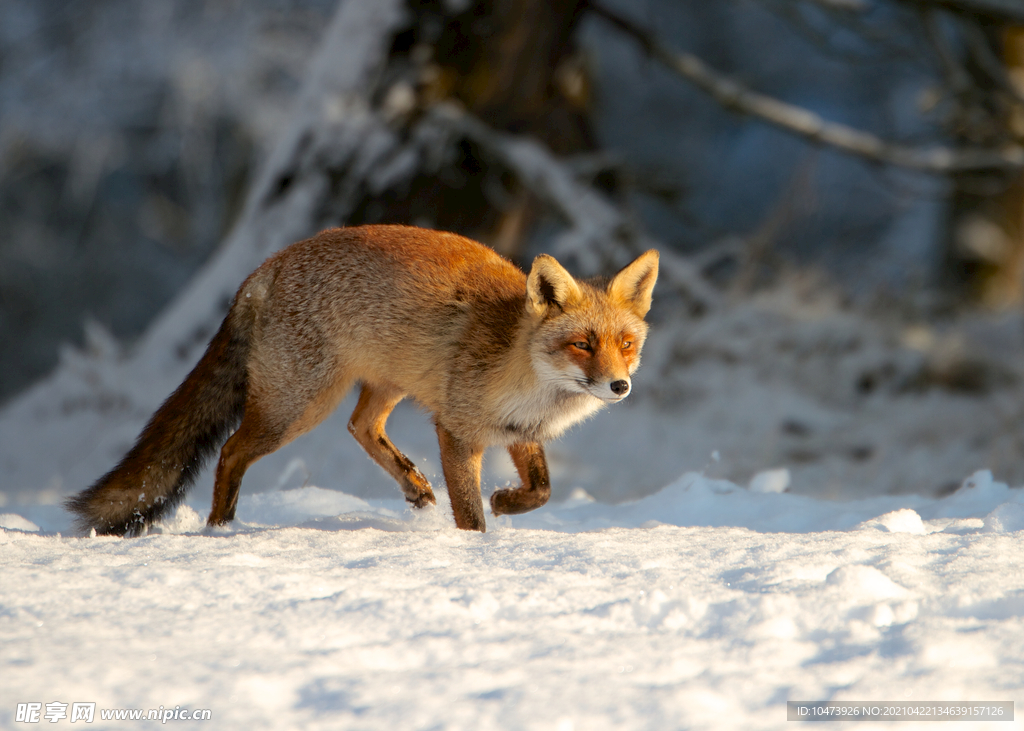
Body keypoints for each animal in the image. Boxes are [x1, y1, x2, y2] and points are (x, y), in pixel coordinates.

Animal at [66, 225, 655, 532]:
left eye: (625, 344)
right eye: (582, 345)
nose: (619, 386)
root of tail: (268, 265)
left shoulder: (518, 432)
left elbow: (544, 490)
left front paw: (508, 503)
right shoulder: (457, 430)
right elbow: (470, 510)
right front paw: (477, 548)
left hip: (385, 382)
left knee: (361, 426)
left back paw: (414, 487)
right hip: (297, 407)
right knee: (232, 451)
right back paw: (222, 526)